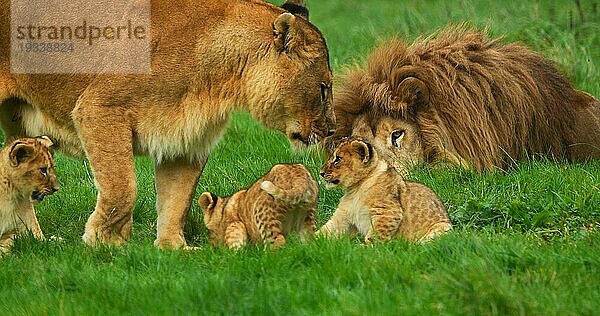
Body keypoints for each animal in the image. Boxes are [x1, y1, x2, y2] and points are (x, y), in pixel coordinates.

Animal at [0, 0, 336, 249]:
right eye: (323, 88)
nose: (332, 130)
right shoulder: (99, 109)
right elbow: (122, 189)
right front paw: (104, 242)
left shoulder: (186, 138)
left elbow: (178, 199)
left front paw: (173, 248)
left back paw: (35, 241)